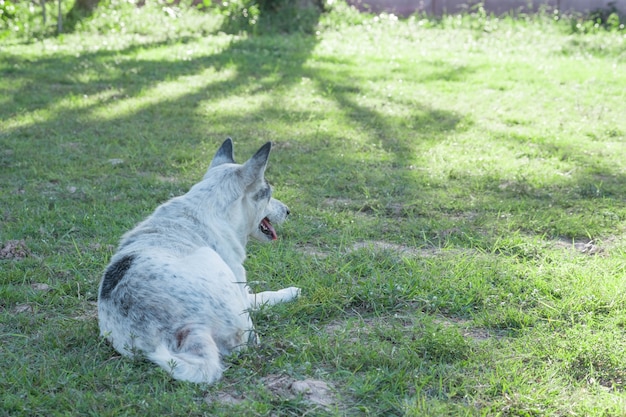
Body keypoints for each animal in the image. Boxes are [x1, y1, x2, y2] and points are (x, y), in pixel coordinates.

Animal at [97, 138, 300, 382]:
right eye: (268, 194)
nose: (288, 211)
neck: (210, 206)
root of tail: (190, 325)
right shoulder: (241, 290)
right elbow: (262, 296)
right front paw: (290, 292)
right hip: (213, 263)